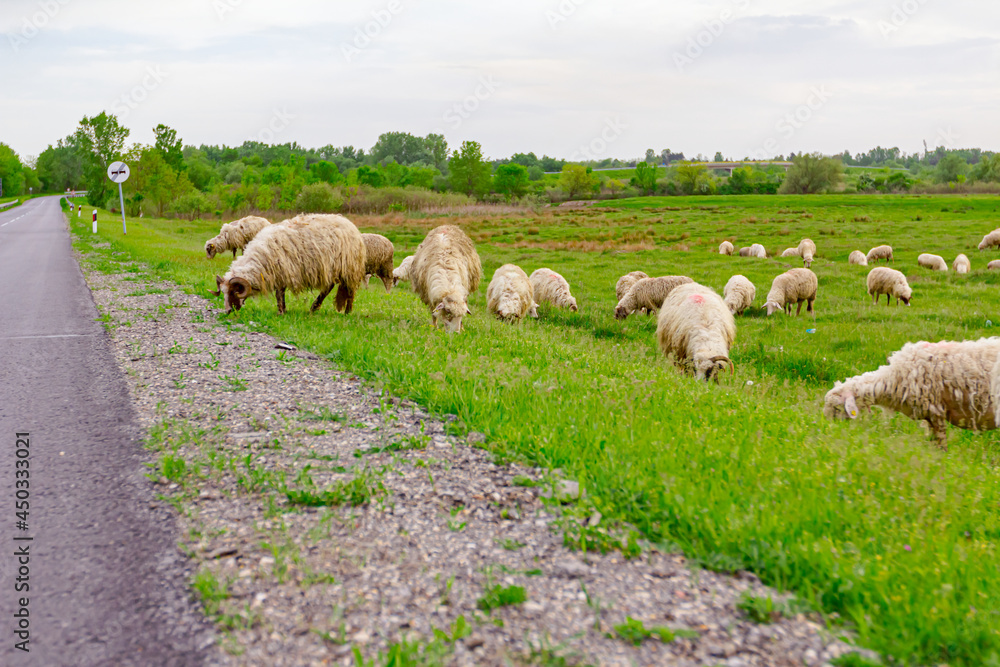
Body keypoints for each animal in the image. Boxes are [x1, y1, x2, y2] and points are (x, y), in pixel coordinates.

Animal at [212, 213, 365, 315]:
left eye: (233, 291)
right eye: (223, 292)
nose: (228, 311)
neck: (259, 261)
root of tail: (347, 222)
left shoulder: (282, 271)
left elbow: (279, 293)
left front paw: (281, 311)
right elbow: (280, 293)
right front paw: (284, 310)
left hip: (349, 268)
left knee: (350, 290)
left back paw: (347, 311)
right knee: (328, 287)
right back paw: (314, 307)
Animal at [824, 338, 1000, 449]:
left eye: (837, 407)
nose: (831, 429)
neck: (891, 379)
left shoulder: (935, 410)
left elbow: (940, 442)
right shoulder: (930, 416)